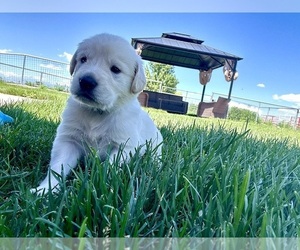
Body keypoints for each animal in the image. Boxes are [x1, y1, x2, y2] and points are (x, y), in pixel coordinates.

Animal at [31, 33, 163, 194]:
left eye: (115, 69)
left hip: (156, 147)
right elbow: (57, 167)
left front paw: (103, 187)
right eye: (83, 59)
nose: (86, 81)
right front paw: (44, 190)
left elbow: (111, 167)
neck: (97, 113)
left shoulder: (124, 146)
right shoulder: (68, 140)